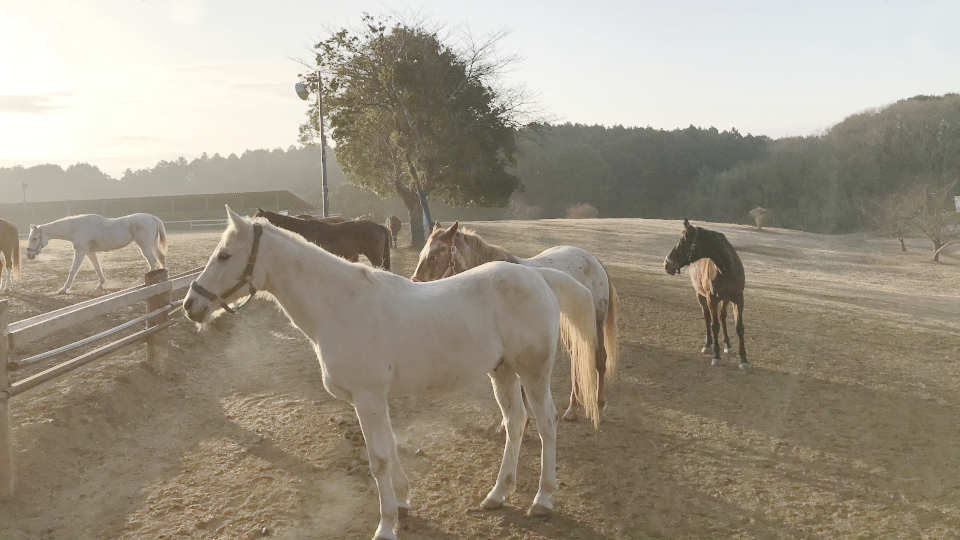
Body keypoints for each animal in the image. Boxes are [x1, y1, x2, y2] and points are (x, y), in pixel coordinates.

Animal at [27, 212, 167, 296]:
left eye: (34, 238)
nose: (29, 255)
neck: (75, 228)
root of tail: (152, 217)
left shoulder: (81, 251)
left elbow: (73, 270)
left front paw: (63, 290)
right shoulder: (90, 252)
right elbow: (97, 267)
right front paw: (100, 285)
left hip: (145, 246)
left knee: (153, 262)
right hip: (151, 245)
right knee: (160, 258)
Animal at [664, 218, 748, 368]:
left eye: (683, 241)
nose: (667, 263)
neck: (726, 269)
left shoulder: (738, 299)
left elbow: (739, 327)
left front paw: (743, 359)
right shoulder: (711, 299)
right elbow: (714, 325)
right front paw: (716, 356)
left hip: (725, 299)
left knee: (722, 316)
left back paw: (727, 344)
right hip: (701, 296)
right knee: (707, 318)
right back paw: (708, 345)